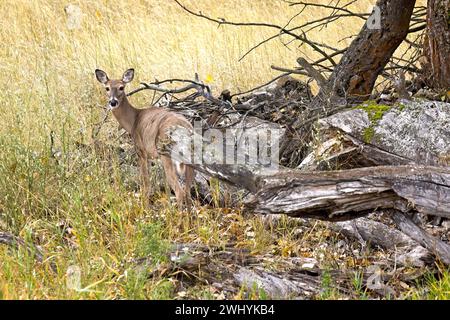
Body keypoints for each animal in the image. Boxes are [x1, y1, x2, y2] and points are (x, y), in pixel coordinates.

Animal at [95, 68, 193, 209]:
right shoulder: (155, 156)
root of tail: (183, 129)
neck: (134, 120)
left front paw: (145, 207)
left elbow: (145, 181)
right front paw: (167, 207)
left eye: (121, 87)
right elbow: (165, 186)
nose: (113, 102)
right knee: (188, 191)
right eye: (107, 88)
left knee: (180, 191)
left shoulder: (141, 151)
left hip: (167, 154)